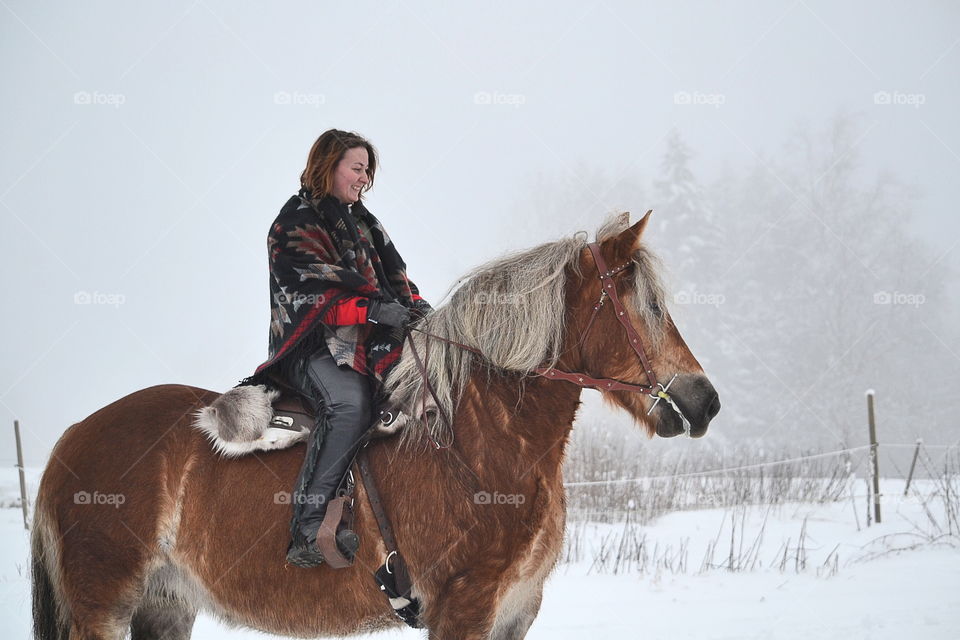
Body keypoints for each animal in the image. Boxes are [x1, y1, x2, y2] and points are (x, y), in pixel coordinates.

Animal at [30, 212, 720, 636]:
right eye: (645, 306)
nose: (704, 400)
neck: (482, 443)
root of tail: (73, 437)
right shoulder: (464, 611)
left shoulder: (515, 612)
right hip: (102, 607)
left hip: (164, 606)